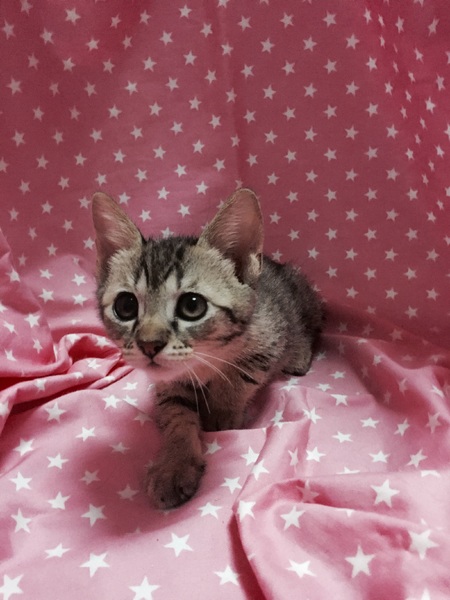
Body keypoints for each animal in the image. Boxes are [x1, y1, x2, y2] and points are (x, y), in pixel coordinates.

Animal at [92, 188, 324, 509]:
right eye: (125, 306)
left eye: (192, 306)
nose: (149, 344)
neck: (203, 360)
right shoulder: (168, 382)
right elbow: (177, 412)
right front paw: (174, 464)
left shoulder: (267, 341)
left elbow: (238, 379)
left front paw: (221, 415)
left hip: (303, 301)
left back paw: (300, 353)